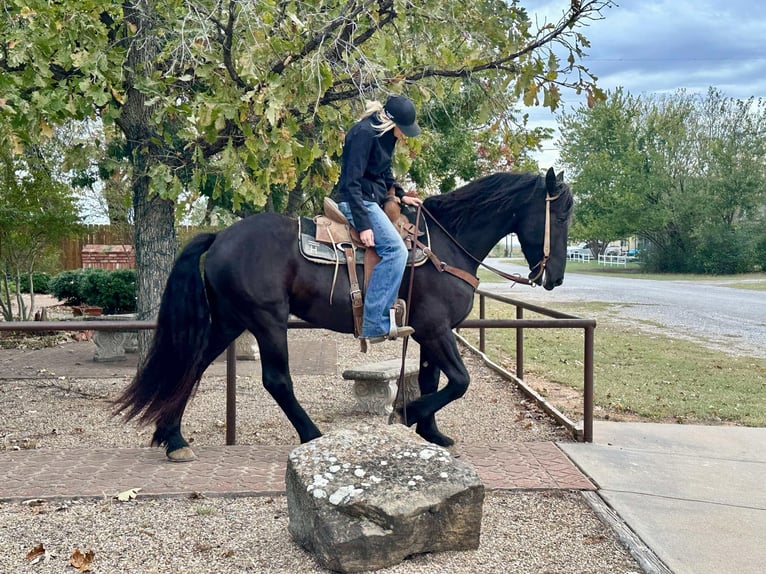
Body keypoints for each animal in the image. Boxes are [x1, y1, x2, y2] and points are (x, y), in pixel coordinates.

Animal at [112, 168, 568, 464]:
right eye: (561, 214)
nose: (556, 277)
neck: (444, 245)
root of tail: (221, 235)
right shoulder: (436, 331)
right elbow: (458, 382)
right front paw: (406, 415)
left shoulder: (427, 334)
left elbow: (432, 380)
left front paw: (432, 433)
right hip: (266, 321)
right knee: (276, 380)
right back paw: (311, 435)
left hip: (229, 321)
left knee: (192, 366)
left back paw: (172, 437)